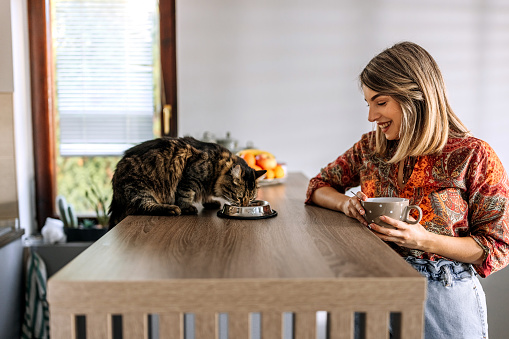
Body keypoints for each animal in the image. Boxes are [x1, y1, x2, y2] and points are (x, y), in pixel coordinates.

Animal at [107, 137, 266, 228]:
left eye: (251, 199)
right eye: (239, 197)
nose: (244, 207)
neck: (217, 167)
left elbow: (206, 195)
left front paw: (209, 202)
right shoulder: (189, 178)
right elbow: (185, 195)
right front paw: (187, 208)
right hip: (139, 188)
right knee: (144, 206)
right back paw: (172, 209)